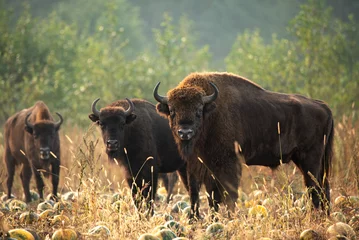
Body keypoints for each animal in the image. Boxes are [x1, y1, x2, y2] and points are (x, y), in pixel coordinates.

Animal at [154, 71, 334, 218]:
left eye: (199, 111)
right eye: (172, 111)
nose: (185, 132)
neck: (211, 114)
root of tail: (323, 106)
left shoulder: (228, 164)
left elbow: (228, 195)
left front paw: (229, 218)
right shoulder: (198, 165)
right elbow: (204, 195)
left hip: (310, 159)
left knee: (314, 188)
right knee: (323, 187)